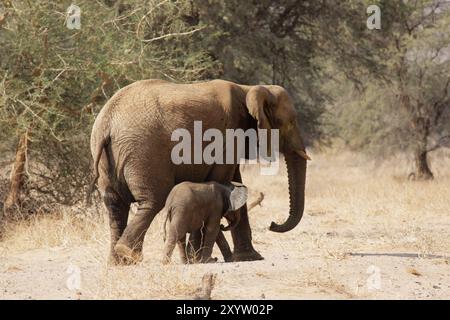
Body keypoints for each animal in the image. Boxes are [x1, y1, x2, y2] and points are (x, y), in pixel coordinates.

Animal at [89, 79, 312, 264]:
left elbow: (234, 182)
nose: (272, 224)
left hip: (108, 157)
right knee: (152, 201)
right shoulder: (229, 134)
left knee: (116, 205)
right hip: (144, 152)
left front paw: (249, 257)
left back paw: (118, 263)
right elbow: (221, 180)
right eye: (289, 122)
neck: (249, 89)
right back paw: (128, 255)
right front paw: (202, 259)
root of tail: (107, 121)